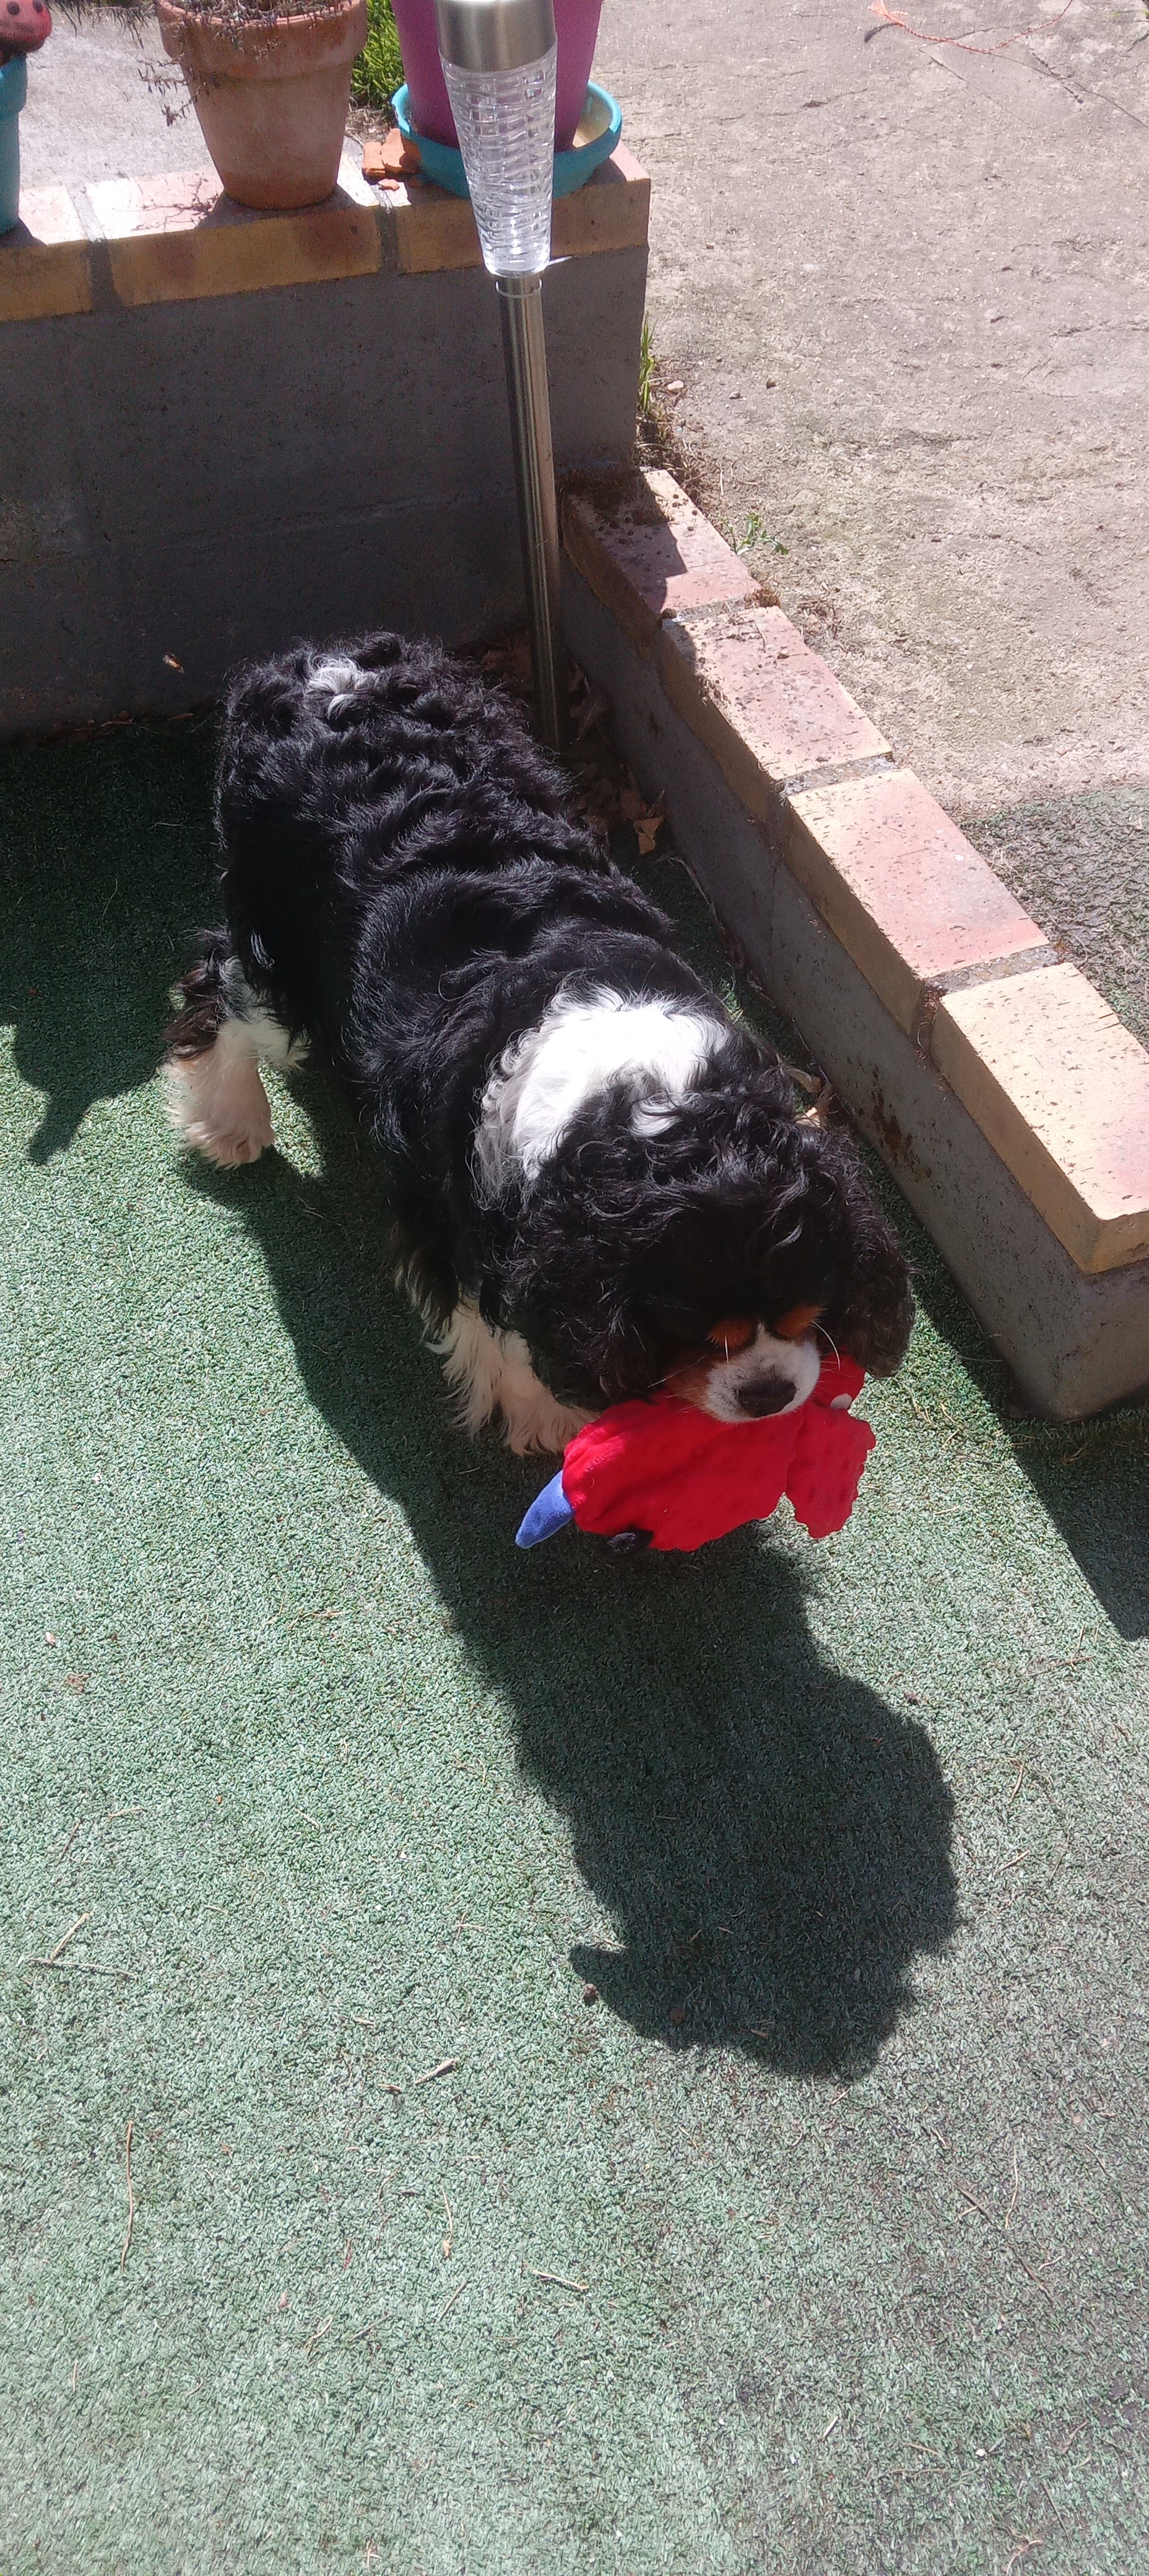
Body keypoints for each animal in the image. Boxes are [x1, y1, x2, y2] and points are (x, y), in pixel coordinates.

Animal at [164, 629, 913, 1454]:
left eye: (807, 1315)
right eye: (694, 1334)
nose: (768, 1393)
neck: (648, 1097)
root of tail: (320, 666)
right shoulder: (456, 1219)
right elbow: (500, 1329)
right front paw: (549, 1416)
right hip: (286, 962)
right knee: (222, 977)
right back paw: (230, 1119)